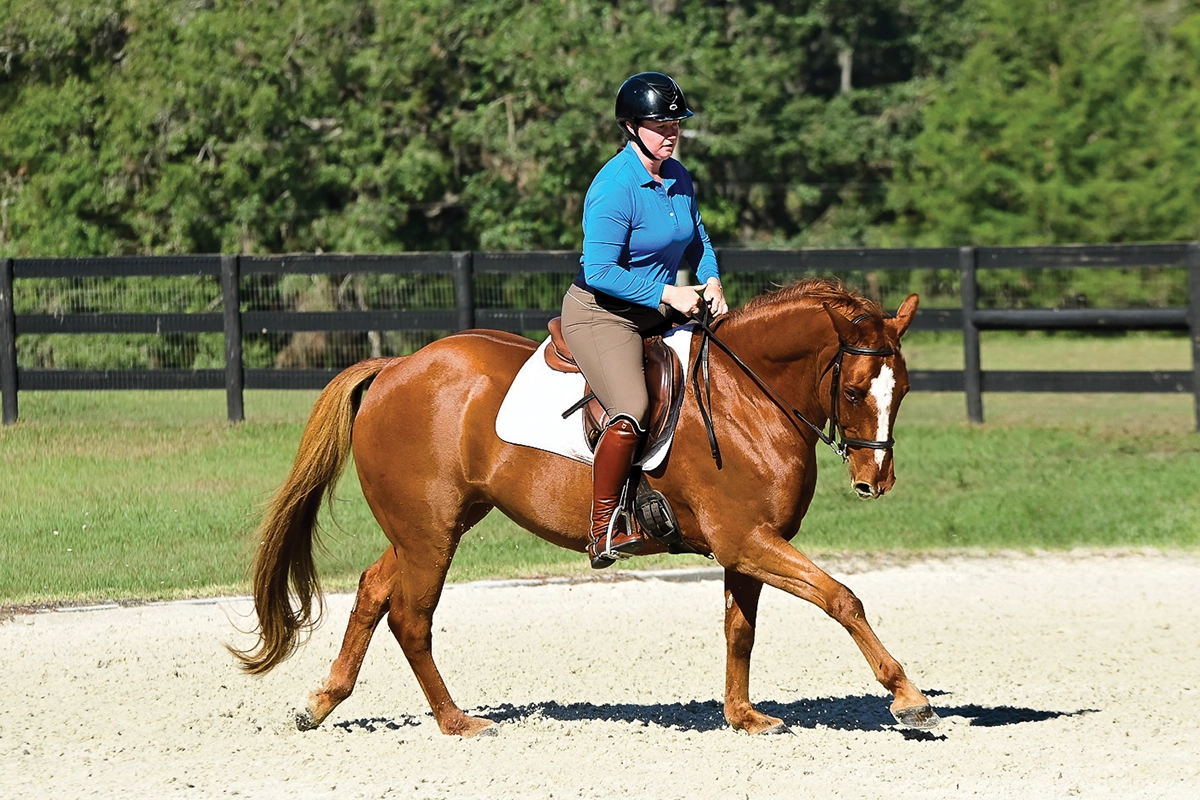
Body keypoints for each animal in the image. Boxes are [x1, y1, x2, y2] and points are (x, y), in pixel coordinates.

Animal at [230, 277, 937, 737]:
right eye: (854, 390)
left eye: (902, 389)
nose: (875, 481)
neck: (747, 395)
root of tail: (398, 365)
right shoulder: (747, 540)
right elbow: (843, 598)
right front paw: (906, 696)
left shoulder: (748, 546)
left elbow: (741, 628)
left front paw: (744, 717)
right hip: (430, 533)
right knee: (410, 616)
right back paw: (457, 722)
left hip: (429, 526)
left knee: (374, 590)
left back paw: (322, 702)